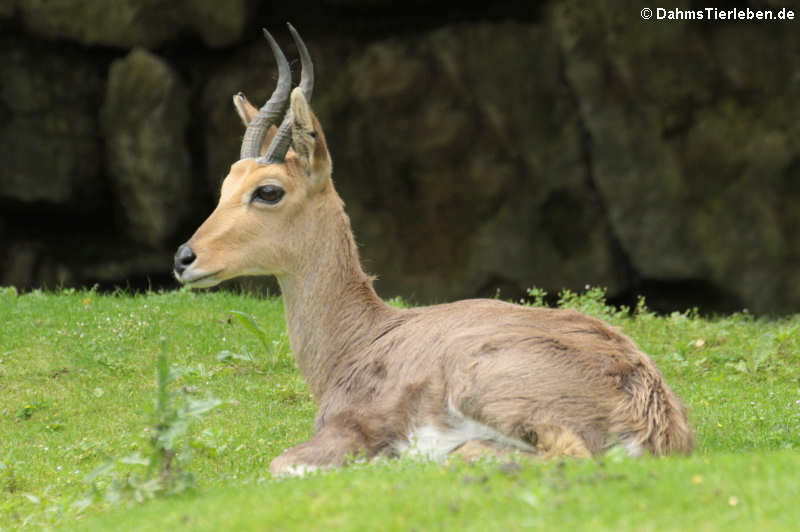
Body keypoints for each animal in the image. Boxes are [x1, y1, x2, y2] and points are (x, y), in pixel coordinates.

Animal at [175, 25, 692, 476]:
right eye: (227, 182)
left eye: (268, 191)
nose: (184, 258)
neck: (363, 337)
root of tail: (647, 404)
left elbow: (281, 464)